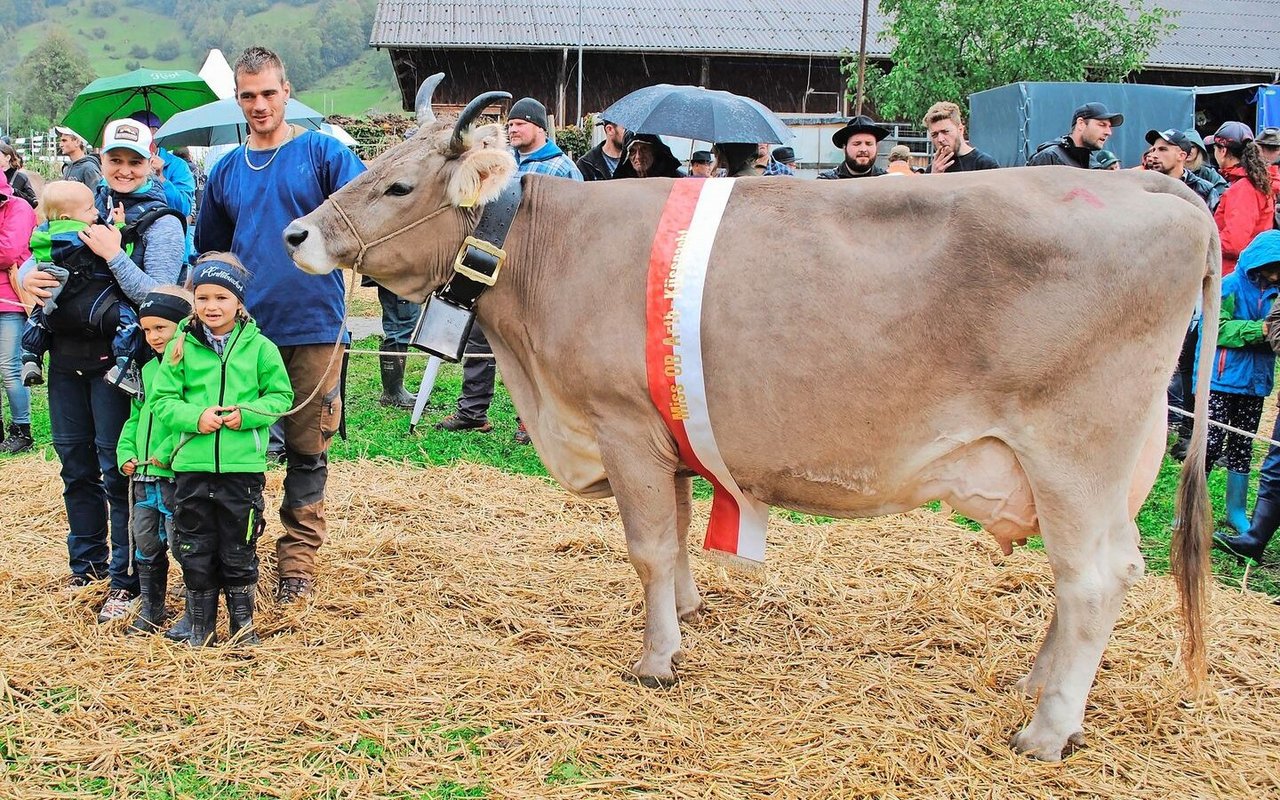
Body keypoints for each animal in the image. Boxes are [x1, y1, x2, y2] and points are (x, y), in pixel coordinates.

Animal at [285, 87, 1223, 762]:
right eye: (377, 164)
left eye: (399, 185)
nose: (297, 234)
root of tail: (1153, 182)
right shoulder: (665, 431)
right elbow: (681, 529)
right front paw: (689, 614)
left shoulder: (621, 423)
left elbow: (647, 545)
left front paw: (657, 659)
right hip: (1108, 463)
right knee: (1085, 582)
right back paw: (1035, 688)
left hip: (1073, 451)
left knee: (1092, 578)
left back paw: (1045, 731)